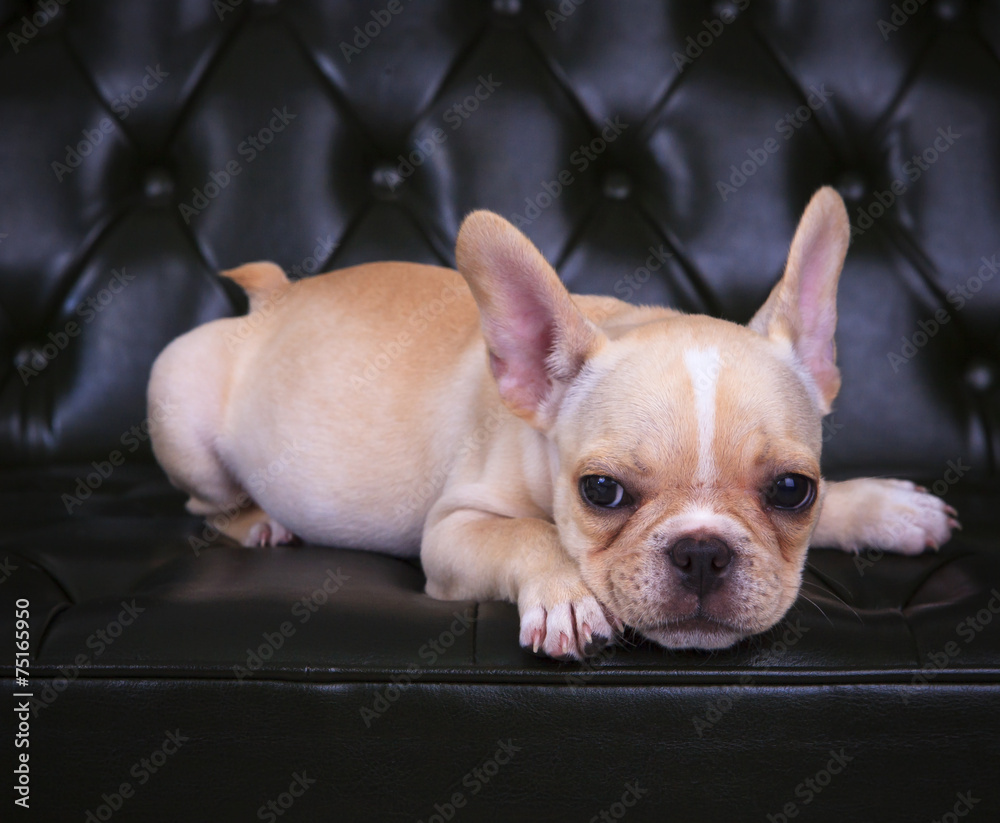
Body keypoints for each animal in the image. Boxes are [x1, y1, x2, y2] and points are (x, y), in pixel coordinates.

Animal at [146, 188, 952, 664]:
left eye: (793, 489)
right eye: (601, 491)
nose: (702, 552)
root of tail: (276, 298)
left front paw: (885, 507)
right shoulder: (453, 529)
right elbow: (527, 534)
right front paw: (567, 592)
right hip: (177, 394)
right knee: (202, 501)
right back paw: (260, 522)